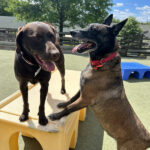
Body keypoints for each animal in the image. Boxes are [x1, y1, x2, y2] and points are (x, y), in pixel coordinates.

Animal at [49, 14, 150, 149]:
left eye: (94, 30)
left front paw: (56, 116)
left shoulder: (85, 99)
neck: (101, 62)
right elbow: (71, 99)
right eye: (87, 26)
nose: (71, 32)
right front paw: (62, 104)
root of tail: (147, 137)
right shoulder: (82, 90)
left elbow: (70, 108)